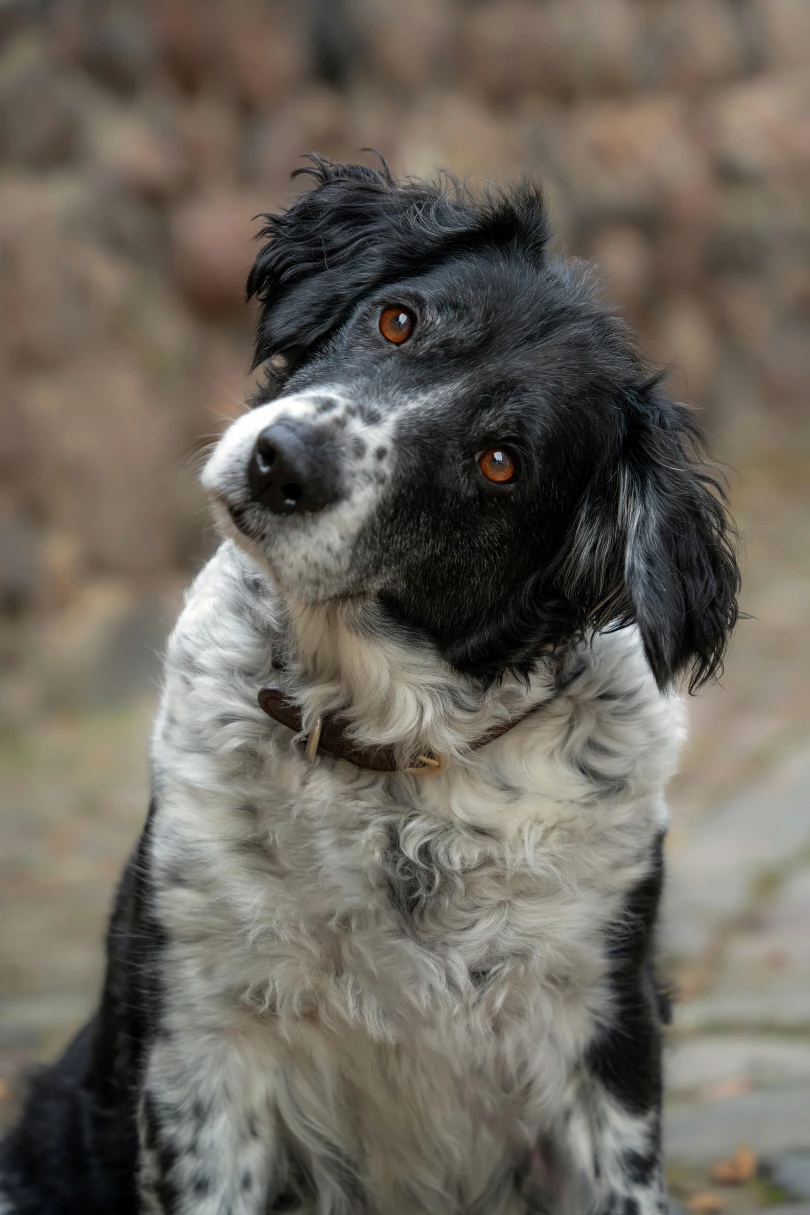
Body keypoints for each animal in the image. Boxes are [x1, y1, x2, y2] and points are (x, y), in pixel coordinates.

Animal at [0, 161, 743, 1215]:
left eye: (500, 462)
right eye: (397, 320)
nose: (282, 465)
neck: (389, 753)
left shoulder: (606, 1036)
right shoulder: (200, 1037)